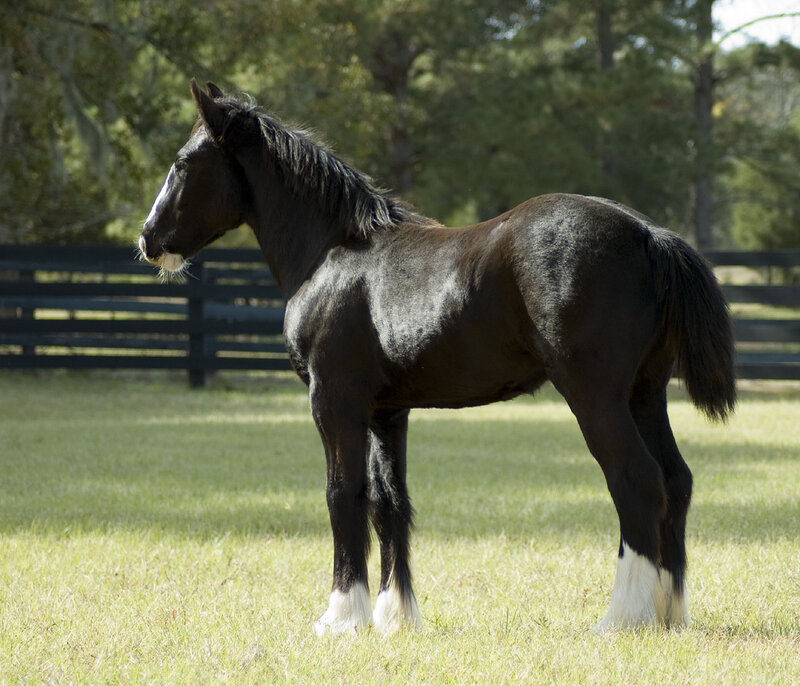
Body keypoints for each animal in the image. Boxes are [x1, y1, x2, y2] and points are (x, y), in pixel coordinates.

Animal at [138, 80, 736, 635]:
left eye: (183, 163)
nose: (148, 239)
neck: (331, 254)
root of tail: (646, 233)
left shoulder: (334, 403)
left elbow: (343, 496)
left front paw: (341, 617)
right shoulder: (386, 412)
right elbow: (389, 503)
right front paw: (394, 616)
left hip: (595, 398)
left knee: (636, 480)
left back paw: (623, 617)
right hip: (644, 395)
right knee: (675, 481)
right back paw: (669, 613)